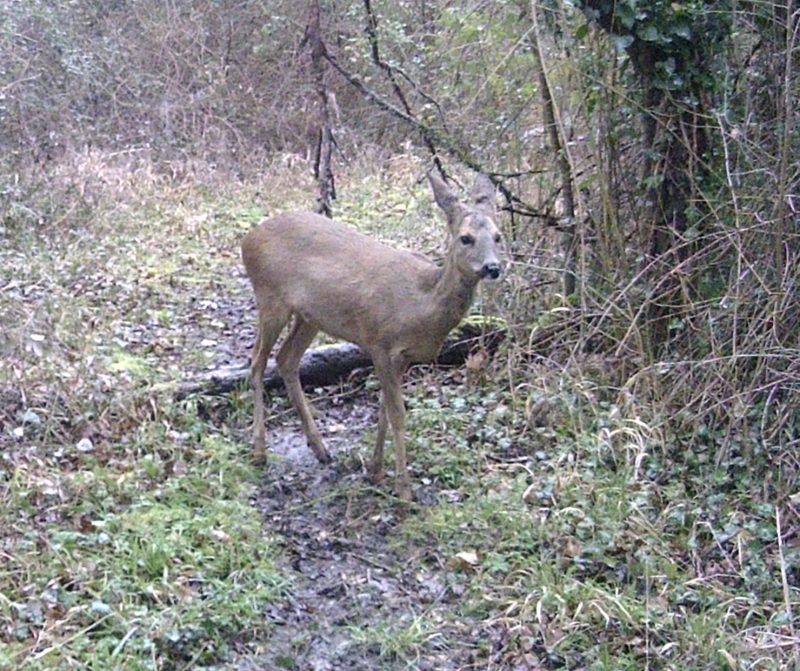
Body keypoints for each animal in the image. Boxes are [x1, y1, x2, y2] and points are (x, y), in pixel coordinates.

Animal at [241, 171, 504, 502]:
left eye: (498, 236)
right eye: (465, 238)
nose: (493, 267)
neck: (421, 305)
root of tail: (248, 238)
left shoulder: (400, 357)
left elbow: (384, 411)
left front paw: (376, 470)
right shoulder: (380, 343)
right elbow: (398, 414)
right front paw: (404, 491)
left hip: (310, 316)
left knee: (286, 358)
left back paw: (321, 449)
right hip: (270, 298)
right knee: (257, 361)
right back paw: (259, 451)